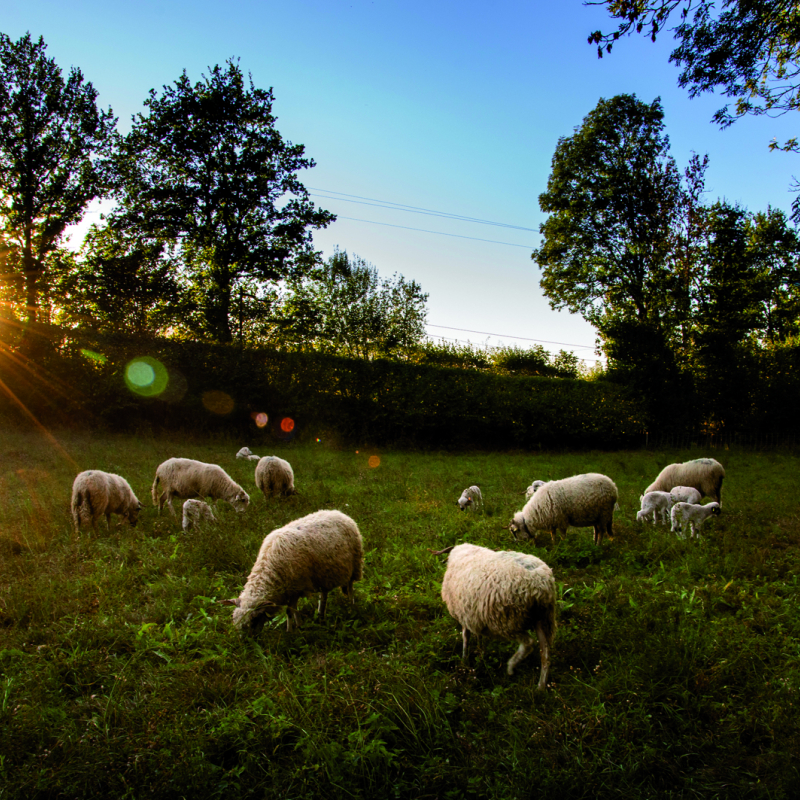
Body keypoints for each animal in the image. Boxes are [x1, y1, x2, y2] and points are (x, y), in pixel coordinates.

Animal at [227, 510, 360, 636]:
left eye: (254, 621)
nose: (246, 641)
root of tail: (337, 512)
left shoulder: (296, 586)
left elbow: (290, 611)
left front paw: (289, 632)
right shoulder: (292, 588)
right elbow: (294, 609)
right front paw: (299, 625)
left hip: (354, 563)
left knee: (350, 586)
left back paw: (352, 606)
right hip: (324, 573)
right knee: (324, 593)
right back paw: (320, 613)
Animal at [432, 544, 556, 688]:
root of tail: (540, 583)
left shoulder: (463, 615)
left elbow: (466, 636)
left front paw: (465, 659)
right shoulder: (473, 614)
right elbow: (477, 635)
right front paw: (480, 651)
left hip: (509, 619)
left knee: (528, 643)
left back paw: (511, 666)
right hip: (543, 618)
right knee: (545, 654)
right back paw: (541, 686)